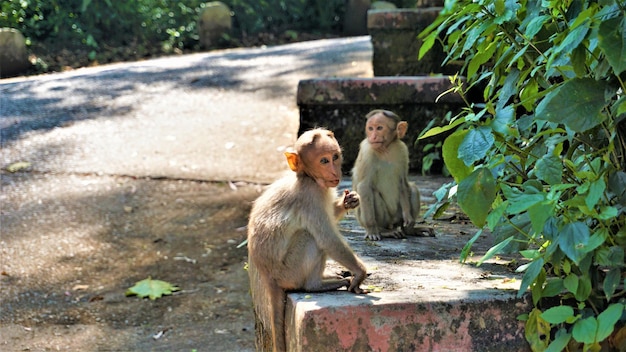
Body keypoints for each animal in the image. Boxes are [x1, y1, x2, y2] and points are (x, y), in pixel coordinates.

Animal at [246, 129, 368, 352]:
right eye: (323, 160)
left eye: (335, 157)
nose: (335, 172)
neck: (308, 178)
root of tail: (268, 278)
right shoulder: (310, 197)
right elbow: (327, 239)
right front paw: (360, 274)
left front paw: (349, 201)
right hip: (289, 272)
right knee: (310, 237)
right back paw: (316, 285)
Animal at [348, 110, 432, 241]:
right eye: (370, 128)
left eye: (379, 128)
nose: (373, 136)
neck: (385, 149)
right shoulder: (367, 151)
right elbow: (364, 186)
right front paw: (372, 230)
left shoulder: (402, 150)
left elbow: (403, 182)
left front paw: (408, 217)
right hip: (382, 219)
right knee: (372, 193)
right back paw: (383, 231)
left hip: (398, 216)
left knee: (412, 188)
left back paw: (410, 230)